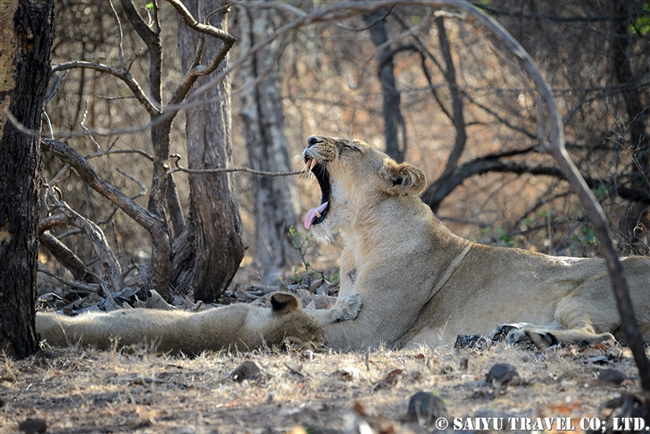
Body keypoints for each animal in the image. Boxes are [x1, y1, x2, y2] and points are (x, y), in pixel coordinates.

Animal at [302, 136, 648, 350]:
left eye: (350, 147)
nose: (310, 139)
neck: (357, 240)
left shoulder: (372, 331)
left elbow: (313, 327)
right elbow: (315, 308)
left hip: (588, 295)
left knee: (602, 335)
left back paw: (534, 337)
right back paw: (510, 331)